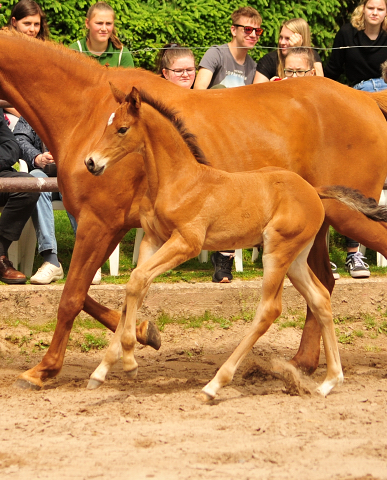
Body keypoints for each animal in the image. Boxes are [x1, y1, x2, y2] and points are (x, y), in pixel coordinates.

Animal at [2, 31, 387, 390]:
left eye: (121, 128)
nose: (93, 163)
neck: (84, 110)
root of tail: (367, 99)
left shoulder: (100, 223)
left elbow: (72, 296)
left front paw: (43, 370)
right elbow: (93, 294)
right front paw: (143, 332)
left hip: (347, 216)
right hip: (310, 230)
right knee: (323, 284)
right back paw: (302, 364)